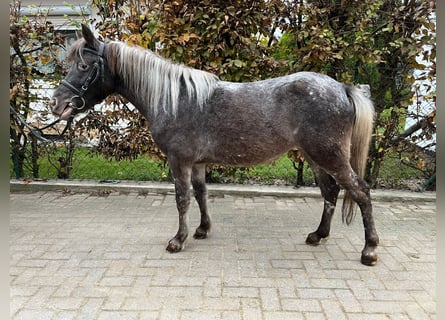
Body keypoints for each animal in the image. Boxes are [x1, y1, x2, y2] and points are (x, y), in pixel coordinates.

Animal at [51, 24, 378, 264]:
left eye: (83, 66)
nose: (57, 104)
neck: (174, 98)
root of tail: (342, 88)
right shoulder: (197, 163)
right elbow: (201, 194)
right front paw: (201, 229)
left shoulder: (179, 161)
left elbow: (182, 199)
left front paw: (177, 240)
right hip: (314, 157)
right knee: (330, 191)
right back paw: (318, 235)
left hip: (329, 156)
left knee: (360, 191)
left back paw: (370, 250)